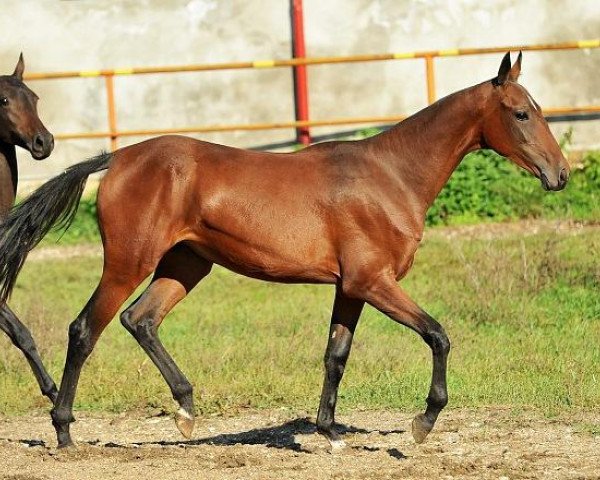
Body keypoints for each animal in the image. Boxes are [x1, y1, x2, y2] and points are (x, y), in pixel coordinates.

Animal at [0, 50, 568, 448]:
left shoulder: (351, 287)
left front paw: (329, 431)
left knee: (141, 320)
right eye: (521, 113)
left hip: (186, 265)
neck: (391, 176)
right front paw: (423, 422)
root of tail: (116, 158)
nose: (560, 174)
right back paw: (65, 431)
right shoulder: (374, 282)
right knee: (85, 330)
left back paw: (186, 412)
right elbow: (438, 336)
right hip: (127, 263)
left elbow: (336, 354)